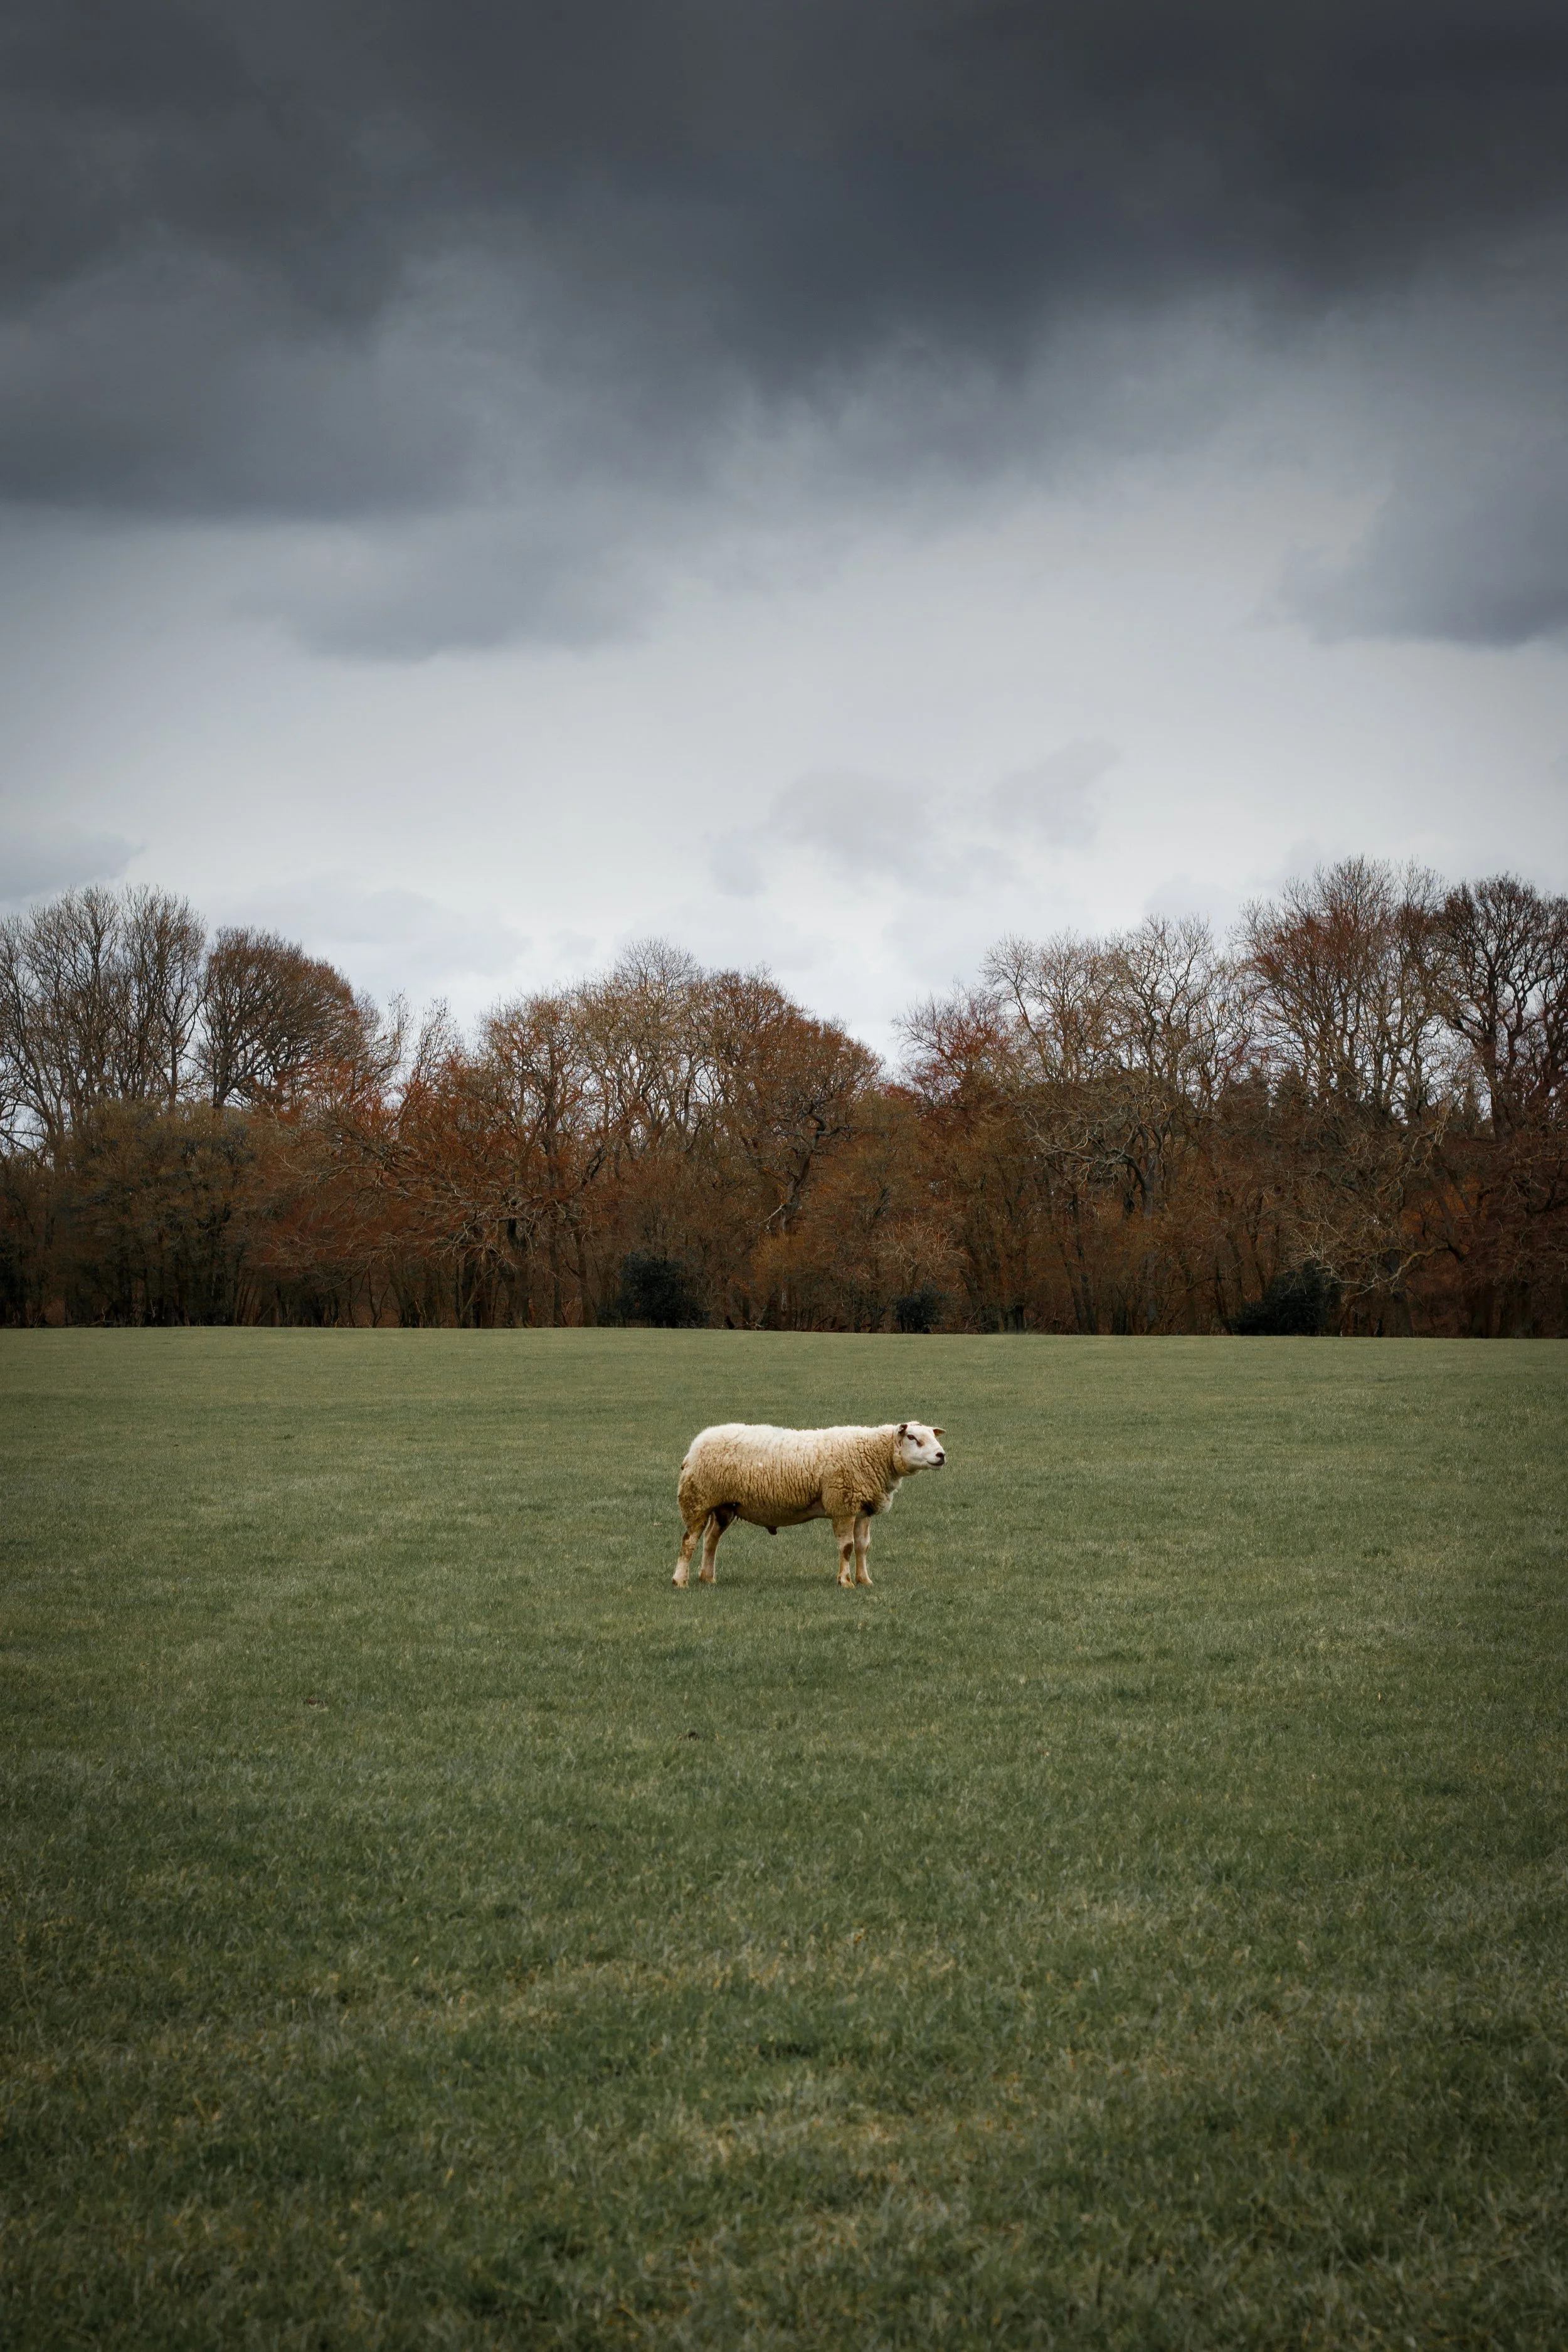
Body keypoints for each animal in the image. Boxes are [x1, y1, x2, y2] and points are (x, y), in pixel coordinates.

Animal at [672, 1420, 946, 1588]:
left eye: (932, 1436)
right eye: (912, 1437)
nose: (941, 1455)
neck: (873, 1454)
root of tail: (695, 1446)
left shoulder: (862, 1509)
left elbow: (863, 1547)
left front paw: (865, 1580)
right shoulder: (842, 1505)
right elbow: (847, 1547)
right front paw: (845, 1581)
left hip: (724, 1506)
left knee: (711, 1541)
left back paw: (708, 1578)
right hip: (698, 1500)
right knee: (689, 1541)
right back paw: (680, 1581)